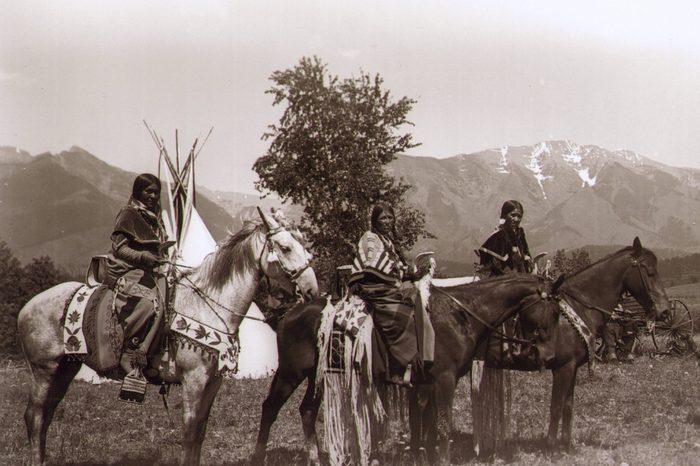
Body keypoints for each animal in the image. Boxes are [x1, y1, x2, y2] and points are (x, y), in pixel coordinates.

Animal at [17, 209, 318, 466]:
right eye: (285, 247)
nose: (312, 290)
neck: (206, 305)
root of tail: (26, 307)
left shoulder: (212, 382)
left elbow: (200, 432)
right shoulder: (193, 380)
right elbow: (189, 432)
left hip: (66, 368)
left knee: (47, 414)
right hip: (44, 369)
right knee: (35, 416)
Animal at [250, 273, 563, 465]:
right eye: (555, 311)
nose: (545, 355)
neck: (459, 316)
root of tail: (288, 314)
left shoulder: (425, 384)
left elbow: (425, 427)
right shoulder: (444, 380)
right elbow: (442, 426)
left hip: (316, 376)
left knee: (307, 411)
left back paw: (316, 459)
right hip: (290, 373)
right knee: (270, 408)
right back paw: (258, 457)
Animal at [414, 237, 671, 462]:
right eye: (649, 271)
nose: (665, 311)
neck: (577, 308)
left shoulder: (572, 368)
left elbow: (568, 406)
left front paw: (566, 446)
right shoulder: (563, 368)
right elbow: (556, 407)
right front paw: (552, 448)